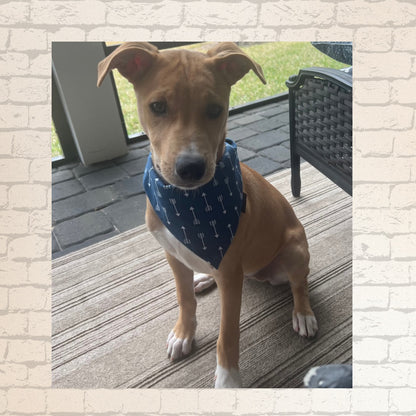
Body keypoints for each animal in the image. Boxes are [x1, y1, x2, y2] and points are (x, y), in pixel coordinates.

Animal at [97, 42, 318, 386]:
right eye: (157, 106)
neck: (189, 206)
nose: (191, 168)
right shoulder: (173, 254)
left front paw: (228, 379)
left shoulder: (230, 274)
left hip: (294, 251)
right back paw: (202, 278)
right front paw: (183, 334)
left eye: (216, 109)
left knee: (300, 282)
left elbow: (227, 333)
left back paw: (304, 313)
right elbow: (183, 298)